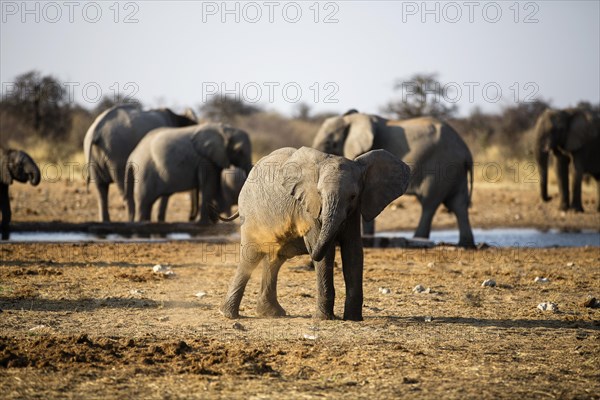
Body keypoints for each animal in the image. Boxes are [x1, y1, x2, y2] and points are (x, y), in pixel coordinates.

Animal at [221, 145, 412, 320]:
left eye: (353, 196)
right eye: (319, 193)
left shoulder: (354, 211)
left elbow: (353, 251)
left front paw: (353, 319)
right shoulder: (308, 206)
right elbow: (326, 255)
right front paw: (324, 318)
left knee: (275, 259)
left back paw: (271, 314)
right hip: (252, 215)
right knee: (251, 256)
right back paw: (229, 315)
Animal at [314, 109, 474, 247]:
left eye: (330, 143)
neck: (352, 119)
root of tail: (466, 151)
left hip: (442, 166)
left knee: (430, 202)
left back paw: (418, 239)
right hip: (455, 170)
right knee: (458, 204)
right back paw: (465, 244)